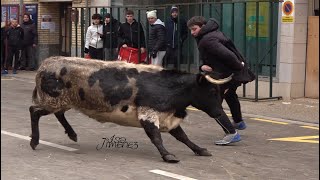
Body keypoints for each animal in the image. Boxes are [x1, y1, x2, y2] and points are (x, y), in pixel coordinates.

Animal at [30, 56, 232, 163]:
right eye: (212, 90)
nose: (219, 113)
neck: (168, 87)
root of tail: (45, 65)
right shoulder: (147, 114)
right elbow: (156, 137)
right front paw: (168, 155)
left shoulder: (169, 118)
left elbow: (184, 137)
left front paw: (200, 149)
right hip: (52, 100)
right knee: (34, 110)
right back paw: (34, 141)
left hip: (61, 101)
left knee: (59, 113)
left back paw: (72, 134)